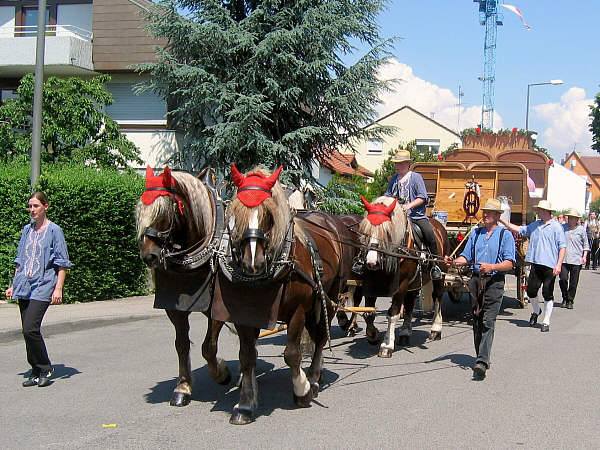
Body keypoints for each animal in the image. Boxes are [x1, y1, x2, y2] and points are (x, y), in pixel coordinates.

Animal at [135, 165, 231, 408]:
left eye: (163, 211)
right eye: (140, 212)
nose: (149, 256)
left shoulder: (218, 308)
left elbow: (208, 347)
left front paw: (221, 373)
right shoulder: (174, 307)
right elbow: (181, 344)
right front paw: (183, 386)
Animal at [213, 163, 356, 424]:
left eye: (269, 215)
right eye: (236, 212)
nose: (253, 263)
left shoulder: (297, 310)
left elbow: (292, 354)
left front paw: (302, 390)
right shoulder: (243, 314)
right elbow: (247, 355)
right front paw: (245, 404)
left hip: (329, 295)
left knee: (321, 337)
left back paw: (314, 377)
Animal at [356, 195, 450, 356]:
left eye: (387, 232)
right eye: (365, 231)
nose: (371, 262)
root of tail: (438, 225)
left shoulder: (401, 285)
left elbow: (393, 312)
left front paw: (387, 345)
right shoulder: (371, 283)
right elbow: (369, 312)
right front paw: (373, 335)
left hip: (439, 276)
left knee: (437, 296)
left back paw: (436, 329)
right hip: (413, 283)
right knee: (410, 303)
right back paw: (405, 332)